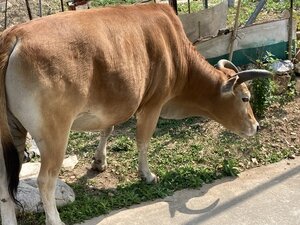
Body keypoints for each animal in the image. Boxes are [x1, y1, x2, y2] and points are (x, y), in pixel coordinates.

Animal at [0, 3, 272, 225]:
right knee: (45, 181)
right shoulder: (153, 104)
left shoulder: (114, 106)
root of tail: (15, 35)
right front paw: (148, 175)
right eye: (245, 97)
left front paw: (99, 162)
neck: (176, 52)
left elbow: (108, 129)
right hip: (55, 135)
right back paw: (55, 219)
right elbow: (143, 140)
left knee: (5, 182)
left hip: (14, 133)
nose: (256, 126)